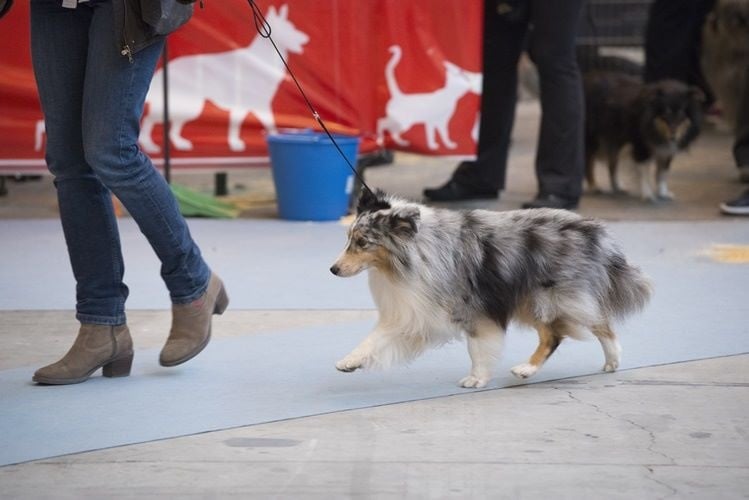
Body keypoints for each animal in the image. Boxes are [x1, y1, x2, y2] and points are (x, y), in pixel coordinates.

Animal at [584, 72, 700, 201]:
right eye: (666, 113)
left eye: (681, 114)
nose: (673, 137)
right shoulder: (640, 146)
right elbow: (644, 172)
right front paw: (648, 194)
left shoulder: (666, 151)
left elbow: (662, 173)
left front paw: (663, 193)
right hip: (593, 138)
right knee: (589, 162)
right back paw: (594, 186)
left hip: (616, 139)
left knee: (612, 163)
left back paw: (617, 186)